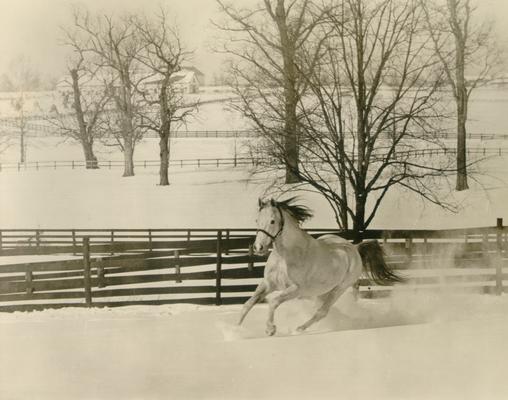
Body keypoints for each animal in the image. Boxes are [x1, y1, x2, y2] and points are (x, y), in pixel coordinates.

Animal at [239, 198, 404, 336]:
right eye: (257, 220)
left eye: (272, 221)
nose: (258, 247)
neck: (285, 257)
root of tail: (354, 248)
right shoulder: (268, 284)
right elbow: (247, 304)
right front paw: (236, 330)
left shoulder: (296, 289)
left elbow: (273, 302)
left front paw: (270, 329)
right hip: (321, 291)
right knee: (322, 308)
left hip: (339, 289)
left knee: (322, 312)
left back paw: (299, 329)